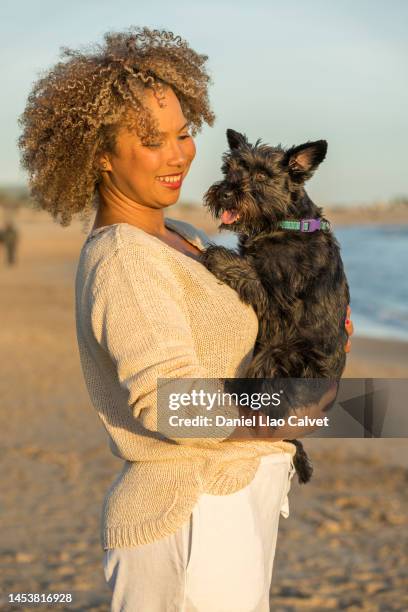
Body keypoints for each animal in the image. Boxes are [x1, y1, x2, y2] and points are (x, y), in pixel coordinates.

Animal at [199, 129, 350, 482]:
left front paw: (218, 255)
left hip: (282, 357)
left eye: (261, 176)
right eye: (229, 169)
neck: (285, 224)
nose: (225, 193)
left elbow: (249, 272)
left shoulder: (279, 305)